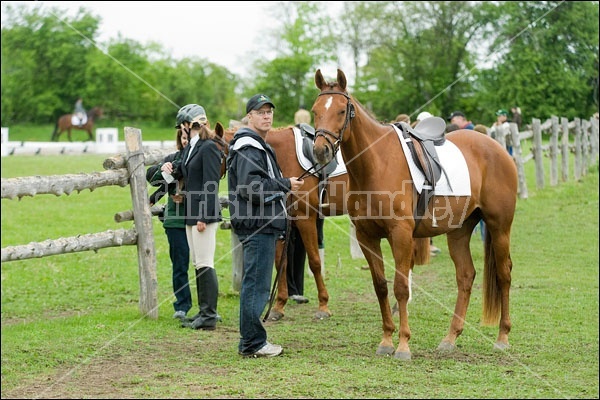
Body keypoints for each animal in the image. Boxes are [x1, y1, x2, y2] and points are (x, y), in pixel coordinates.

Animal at [312, 69, 516, 360]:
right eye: (315, 110)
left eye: (342, 110)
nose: (321, 150)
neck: (376, 164)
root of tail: (496, 147)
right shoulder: (366, 237)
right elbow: (381, 286)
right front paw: (387, 340)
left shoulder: (401, 235)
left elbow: (400, 287)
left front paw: (403, 344)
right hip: (459, 231)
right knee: (465, 276)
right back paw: (450, 338)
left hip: (499, 228)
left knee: (504, 273)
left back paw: (502, 337)